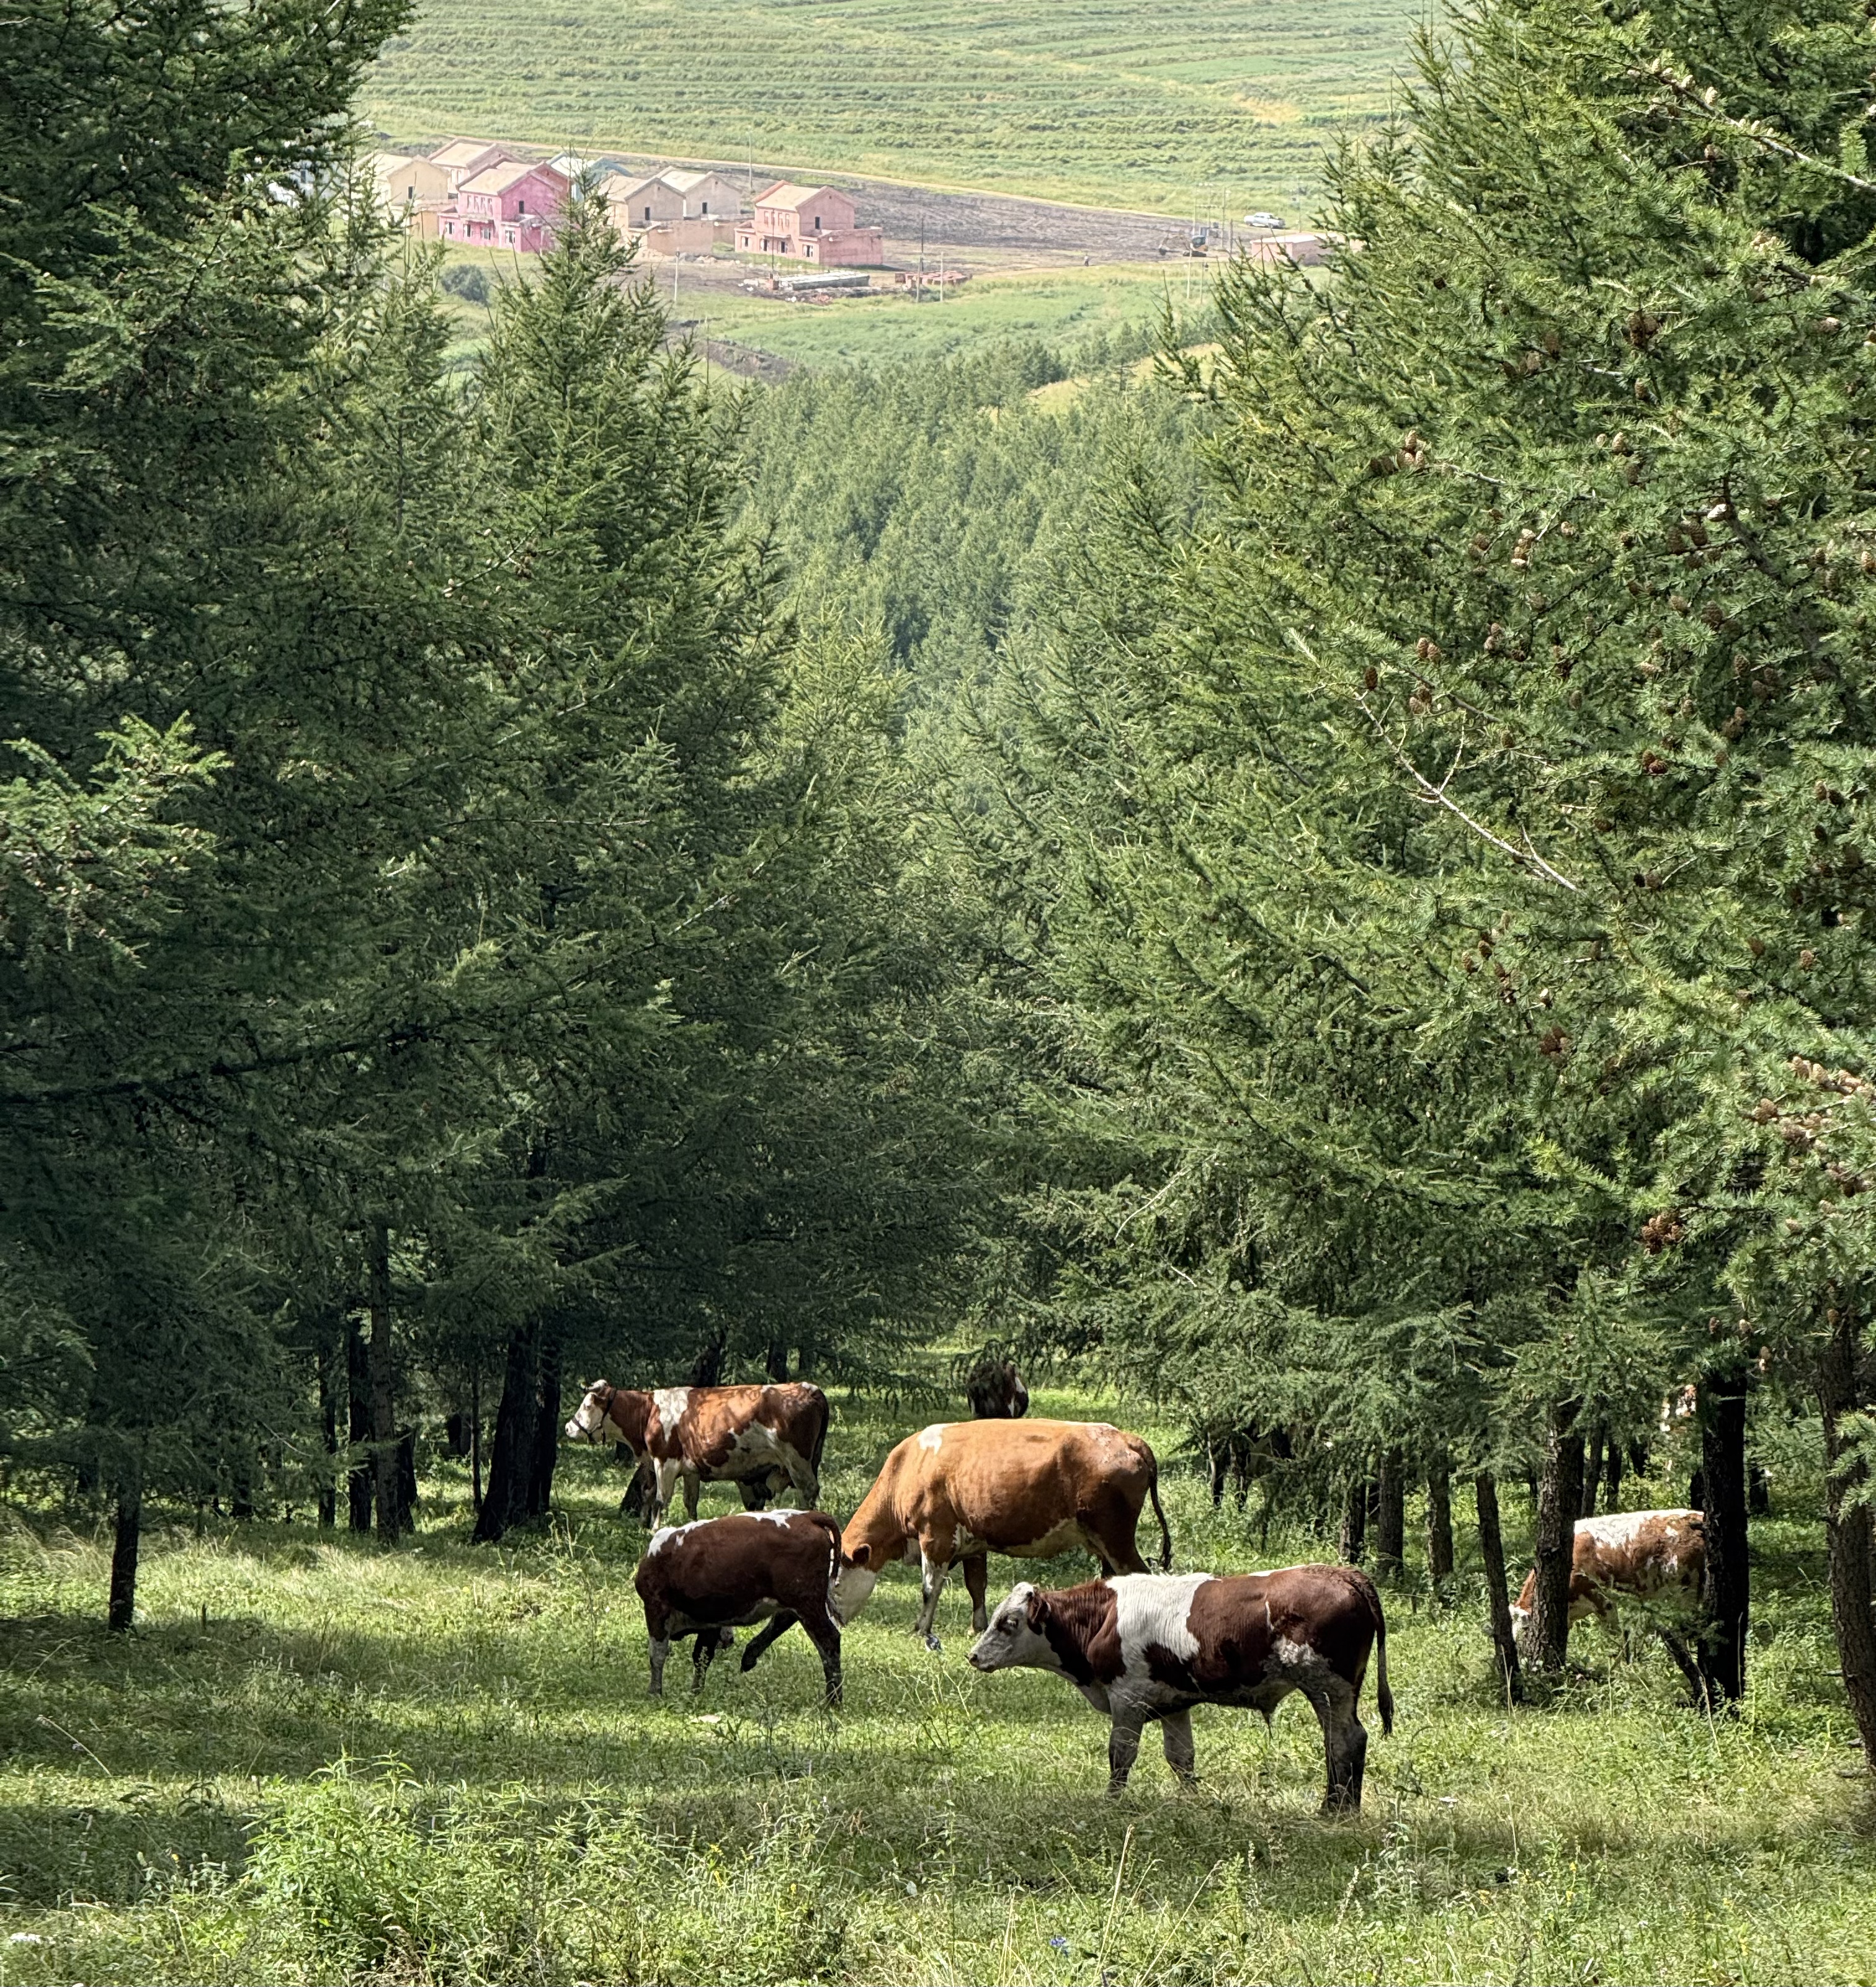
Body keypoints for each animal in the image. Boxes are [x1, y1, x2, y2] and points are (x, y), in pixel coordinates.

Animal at [564, 1381, 828, 1525]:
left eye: (587, 1405)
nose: (568, 1428)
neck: (649, 1412)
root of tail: (808, 1387)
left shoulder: (665, 1462)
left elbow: (660, 1500)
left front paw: (655, 1529)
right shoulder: (691, 1471)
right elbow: (690, 1503)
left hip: (798, 1460)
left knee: (809, 1491)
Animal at [633, 1508, 844, 1705]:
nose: (729, 1640)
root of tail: (806, 1516)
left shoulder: (656, 1607)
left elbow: (657, 1654)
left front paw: (655, 1693)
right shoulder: (711, 1620)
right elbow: (702, 1657)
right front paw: (695, 1693)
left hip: (806, 1603)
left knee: (828, 1641)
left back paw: (833, 1701)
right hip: (801, 1603)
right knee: (789, 1623)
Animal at [832, 1418, 1173, 1651]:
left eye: (834, 1583)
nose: (834, 1618)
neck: (910, 1467)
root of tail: (1126, 1438)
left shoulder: (935, 1537)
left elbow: (930, 1589)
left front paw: (921, 1629)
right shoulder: (973, 1543)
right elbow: (976, 1586)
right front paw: (978, 1627)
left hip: (1116, 1538)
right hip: (1104, 1543)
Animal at [968, 1565, 1392, 1811]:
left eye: (1008, 1622)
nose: (973, 1656)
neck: (1104, 1617)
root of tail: (1343, 1574)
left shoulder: (1127, 1700)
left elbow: (1121, 1756)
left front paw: (1111, 1803)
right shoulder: (1174, 1705)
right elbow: (1181, 1759)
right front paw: (1194, 1803)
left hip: (1329, 1687)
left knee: (1344, 1741)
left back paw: (1337, 1810)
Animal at [1511, 1508, 1706, 1688]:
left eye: (1526, 1631)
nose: (1523, 1665)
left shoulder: (1602, 1599)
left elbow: (1614, 1635)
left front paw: (1619, 1668)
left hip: (1683, 1594)